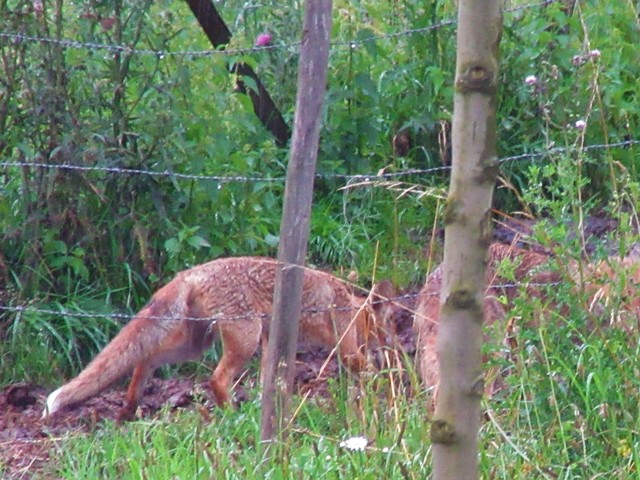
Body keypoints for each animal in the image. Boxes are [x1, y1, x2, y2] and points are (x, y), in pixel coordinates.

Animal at [42, 258, 396, 420]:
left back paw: (129, 409)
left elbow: (271, 380)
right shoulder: (346, 347)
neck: (349, 305)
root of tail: (191, 272)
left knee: (145, 359)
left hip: (194, 345)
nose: (393, 343)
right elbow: (366, 369)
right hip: (243, 340)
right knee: (215, 379)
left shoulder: (272, 342)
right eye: (387, 326)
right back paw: (230, 414)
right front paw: (389, 390)